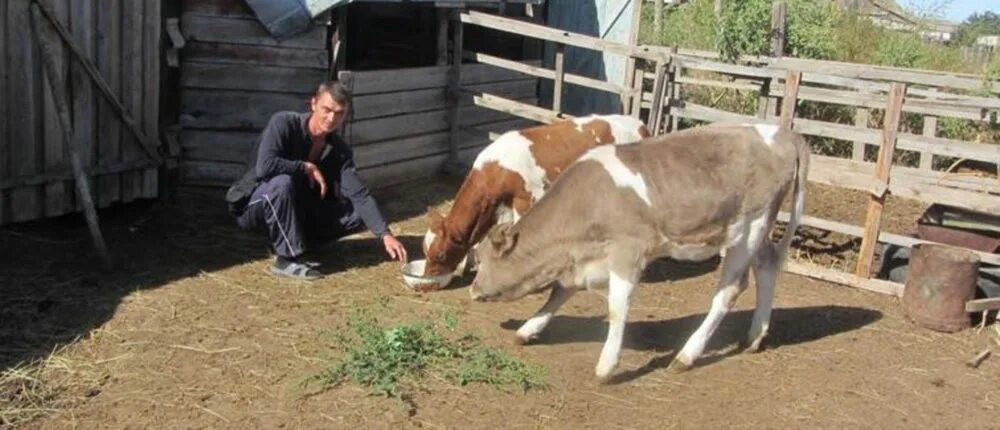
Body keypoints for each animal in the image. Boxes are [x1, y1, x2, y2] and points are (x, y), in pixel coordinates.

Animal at [420, 114, 648, 290]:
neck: (495, 169)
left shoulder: (526, 196)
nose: (426, 285)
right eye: (425, 251)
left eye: (441, 255)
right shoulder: (502, 206)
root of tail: (638, 124)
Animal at [464, 122, 808, 380]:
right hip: (757, 232)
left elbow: (617, 307)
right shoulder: (583, 258)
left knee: (730, 289)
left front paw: (607, 365)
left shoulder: (628, 251)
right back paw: (755, 335)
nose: (473, 289)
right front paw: (528, 329)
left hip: (749, 228)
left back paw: (687, 355)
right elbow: (560, 291)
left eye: (481, 259)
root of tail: (783, 132)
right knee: (766, 266)